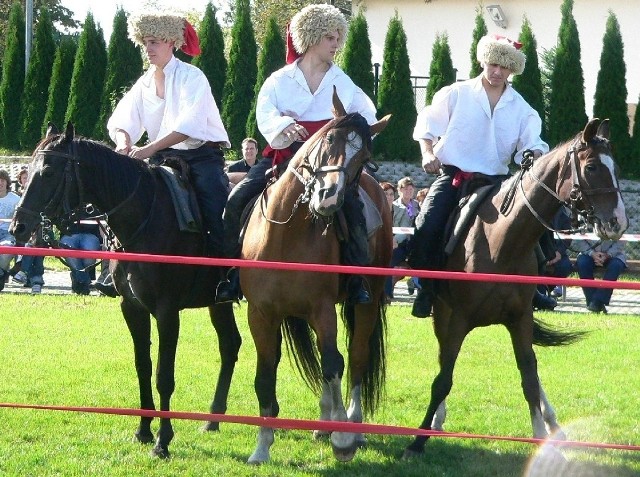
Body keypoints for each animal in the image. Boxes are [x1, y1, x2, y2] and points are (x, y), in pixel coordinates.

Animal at [11, 122, 241, 458]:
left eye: (50, 171)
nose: (18, 227)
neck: (146, 216)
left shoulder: (167, 312)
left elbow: (163, 376)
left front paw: (163, 441)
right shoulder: (132, 308)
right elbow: (143, 367)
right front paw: (143, 431)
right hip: (219, 302)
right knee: (230, 345)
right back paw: (213, 420)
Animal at [239, 91, 390, 462]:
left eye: (364, 157)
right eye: (329, 139)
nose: (328, 197)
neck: (286, 233)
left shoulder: (321, 309)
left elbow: (335, 364)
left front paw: (343, 438)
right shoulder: (261, 313)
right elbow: (266, 372)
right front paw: (262, 445)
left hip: (366, 303)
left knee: (356, 356)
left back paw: (351, 425)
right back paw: (323, 424)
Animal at [402, 118, 628, 458]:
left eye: (615, 167)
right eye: (591, 167)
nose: (618, 222)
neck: (500, 242)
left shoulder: (520, 319)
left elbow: (529, 376)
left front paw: (542, 440)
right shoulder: (459, 318)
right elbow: (443, 379)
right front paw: (417, 440)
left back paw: (553, 426)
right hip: (442, 312)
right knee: (443, 359)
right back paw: (437, 420)